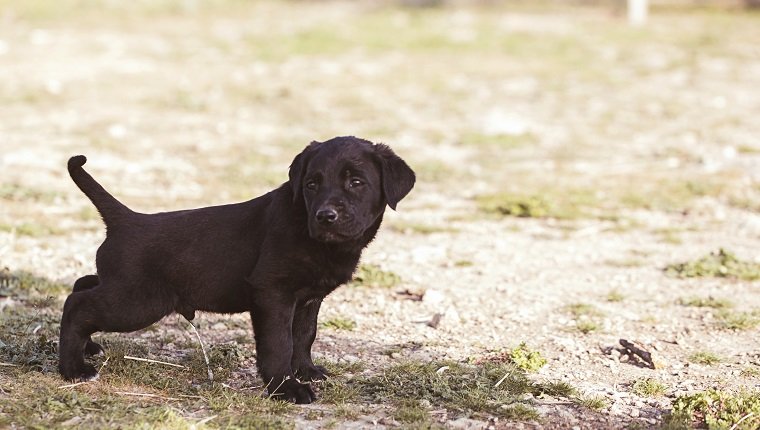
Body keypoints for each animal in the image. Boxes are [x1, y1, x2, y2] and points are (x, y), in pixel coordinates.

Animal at [59, 137, 416, 404]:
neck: (305, 226)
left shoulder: (309, 299)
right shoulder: (274, 293)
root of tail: (126, 219)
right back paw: (73, 368)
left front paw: (306, 371)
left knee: (82, 284)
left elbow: (304, 336)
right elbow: (279, 343)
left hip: (124, 289)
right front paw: (286, 387)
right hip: (139, 302)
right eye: (312, 184)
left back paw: (87, 348)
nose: (326, 216)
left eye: (356, 182)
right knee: (77, 304)